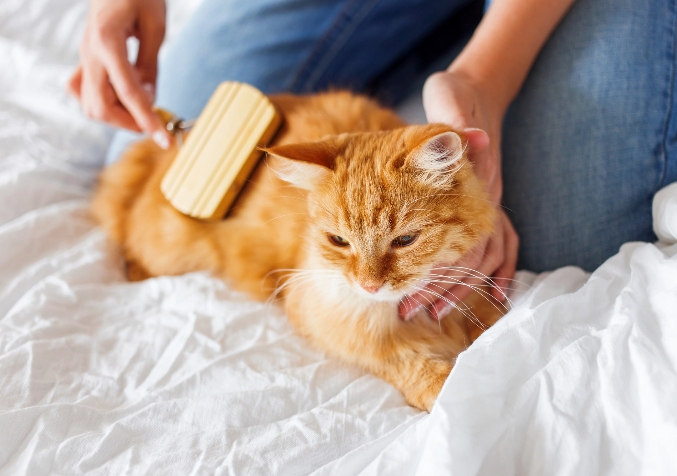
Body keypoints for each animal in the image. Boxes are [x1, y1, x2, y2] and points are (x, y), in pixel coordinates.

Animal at [91, 91, 502, 410]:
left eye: (404, 241)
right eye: (339, 242)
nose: (368, 286)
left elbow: (491, 324)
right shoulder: (331, 322)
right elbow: (409, 363)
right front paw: (448, 388)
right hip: (171, 247)